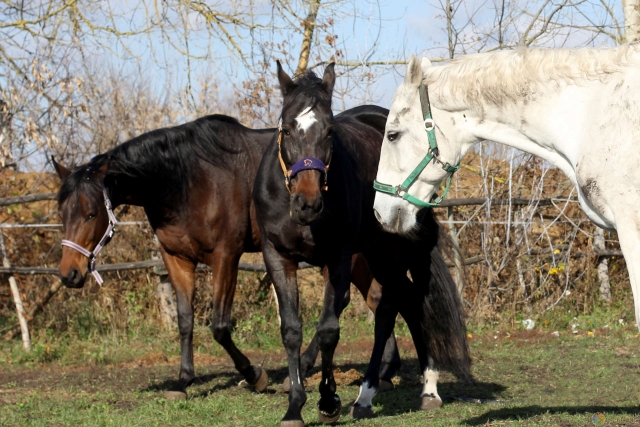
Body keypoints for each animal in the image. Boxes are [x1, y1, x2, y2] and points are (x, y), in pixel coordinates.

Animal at [53, 114, 404, 400]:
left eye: (91, 213)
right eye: (62, 212)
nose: (69, 274)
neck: (188, 180)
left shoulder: (225, 256)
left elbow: (219, 326)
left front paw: (255, 375)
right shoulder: (176, 258)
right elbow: (185, 320)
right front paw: (183, 380)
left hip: (349, 252)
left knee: (349, 301)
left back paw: (309, 370)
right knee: (376, 298)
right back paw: (385, 371)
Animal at [253, 61, 470, 426]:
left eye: (330, 132)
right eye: (287, 129)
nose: (307, 203)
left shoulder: (338, 257)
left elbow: (329, 329)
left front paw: (328, 402)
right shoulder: (277, 257)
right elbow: (291, 330)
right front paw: (295, 405)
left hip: (402, 251)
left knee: (396, 307)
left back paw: (418, 389)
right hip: (375, 254)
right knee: (401, 302)